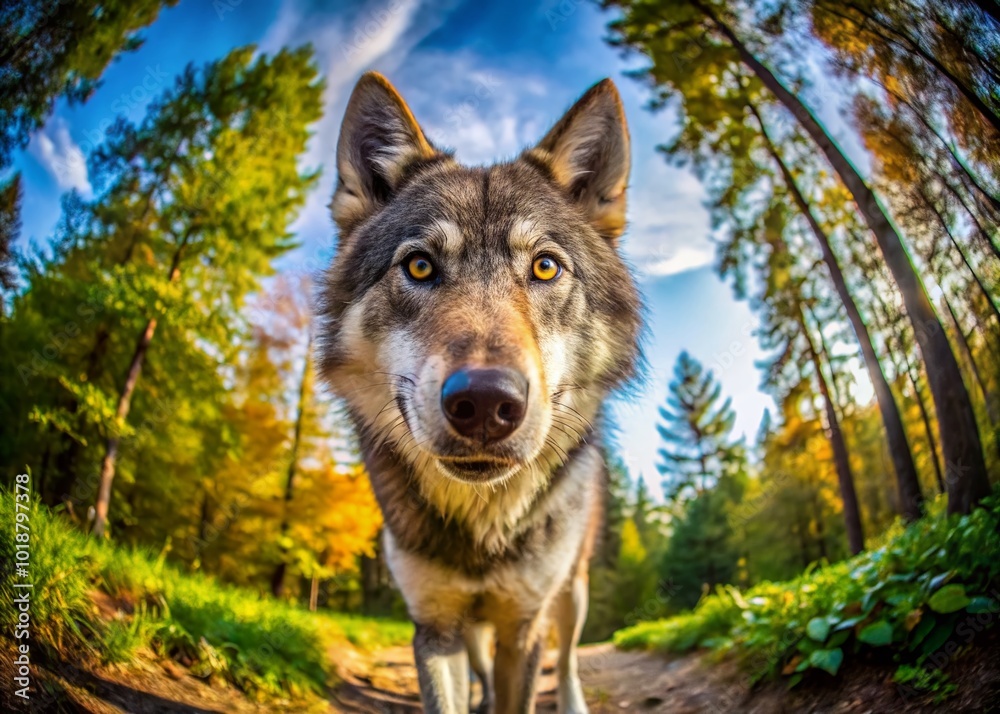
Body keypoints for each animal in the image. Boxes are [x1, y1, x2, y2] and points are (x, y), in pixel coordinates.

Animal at [317, 72, 641, 714]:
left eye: (545, 268)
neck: (482, 527)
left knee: (569, 658)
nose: (487, 404)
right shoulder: (435, 627)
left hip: (572, 593)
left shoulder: (525, 626)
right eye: (419, 266)